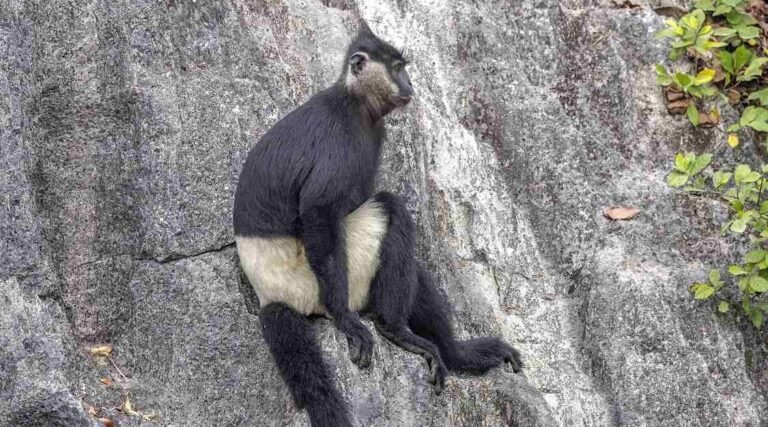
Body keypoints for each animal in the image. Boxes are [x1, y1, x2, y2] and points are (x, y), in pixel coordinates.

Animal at [233, 21, 523, 427]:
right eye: (398, 68)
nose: (410, 84)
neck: (353, 103)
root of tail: (270, 293)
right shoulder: (338, 141)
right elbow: (319, 213)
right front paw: (347, 321)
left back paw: (456, 353)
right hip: (317, 282)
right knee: (390, 210)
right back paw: (394, 330)